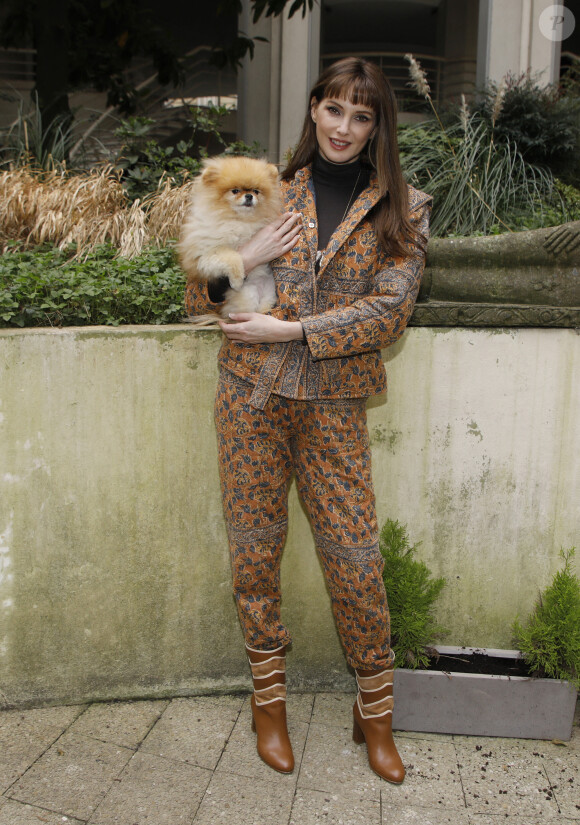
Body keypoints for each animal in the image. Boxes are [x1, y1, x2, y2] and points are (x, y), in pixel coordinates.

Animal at [180, 154, 282, 322]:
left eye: (256, 191)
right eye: (235, 191)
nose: (249, 196)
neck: (239, 221)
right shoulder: (206, 254)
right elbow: (232, 256)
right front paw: (237, 280)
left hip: (268, 292)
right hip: (248, 295)